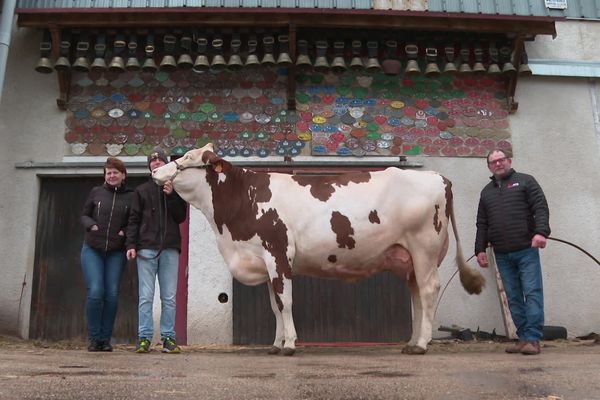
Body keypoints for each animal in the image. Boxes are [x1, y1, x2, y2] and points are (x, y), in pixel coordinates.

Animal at [152, 144, 486, 356]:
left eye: (186, 159)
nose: (155, 172)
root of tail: (437, 176)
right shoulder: (264, 260)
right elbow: (274, 305)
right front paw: (276, 344)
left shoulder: (278, 254)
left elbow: (285, 302)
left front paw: (289, 345)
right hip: (410, 257)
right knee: (417, 295)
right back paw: (412, 341)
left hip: (424, 247)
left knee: (428, 292)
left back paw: (421, 345)